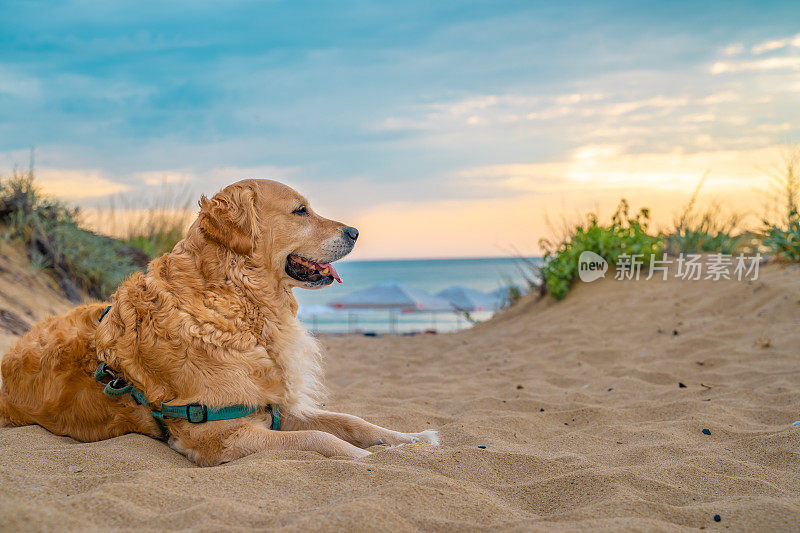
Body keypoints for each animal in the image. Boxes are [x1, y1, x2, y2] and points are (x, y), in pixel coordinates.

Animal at [0, 180, 438, 466]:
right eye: (300, 211)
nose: (355, 231)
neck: (237, 304)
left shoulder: (273, 406)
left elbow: (351, 421)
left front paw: (410, 440)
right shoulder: (220, 434)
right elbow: (323, 439)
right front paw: (374, 460)